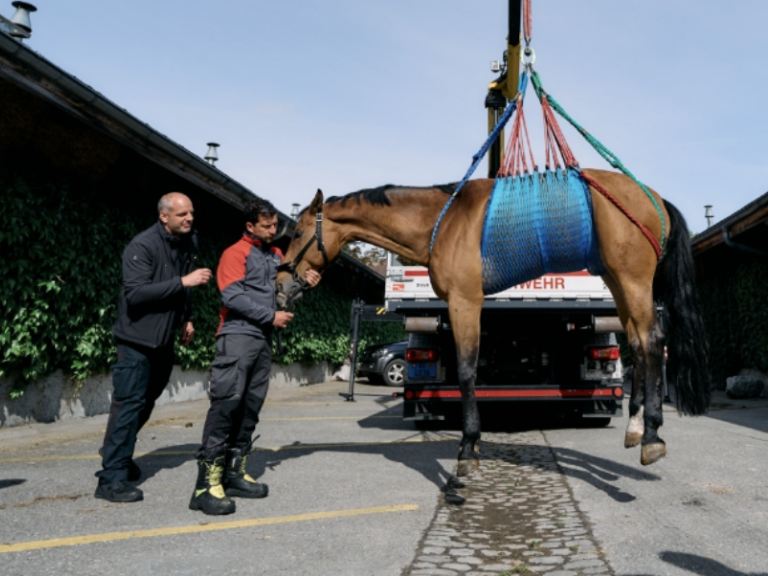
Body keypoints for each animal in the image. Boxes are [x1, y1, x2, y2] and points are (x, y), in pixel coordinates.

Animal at [276, 169, 711, 477]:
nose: (280, 282)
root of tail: (655, 198)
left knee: (652, 342)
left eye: (297, 232)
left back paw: (652, 435)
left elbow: (468, 371)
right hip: (619, 283)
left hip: (633, 281)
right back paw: (635, 428)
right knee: (636, 345)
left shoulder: (465, 302)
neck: (441, 222)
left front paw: (468, 447)